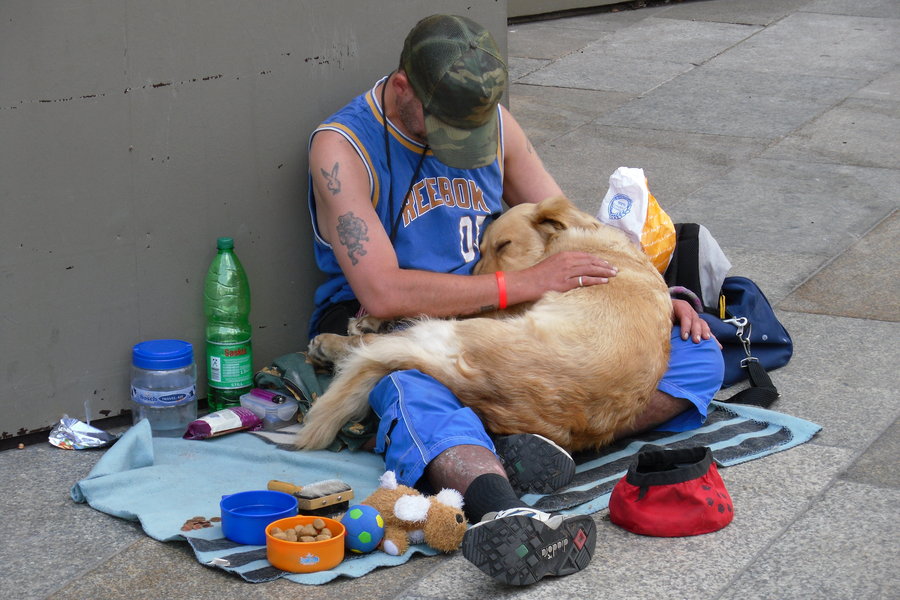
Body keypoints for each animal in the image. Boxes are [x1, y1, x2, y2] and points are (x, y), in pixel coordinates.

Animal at [298, 195, 676, 452]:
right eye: (479, 249)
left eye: (504, 245)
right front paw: (370, 319)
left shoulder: (500, 309)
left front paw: (361, 326)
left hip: (452, 332)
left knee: (379, 344)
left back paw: (328, 344)